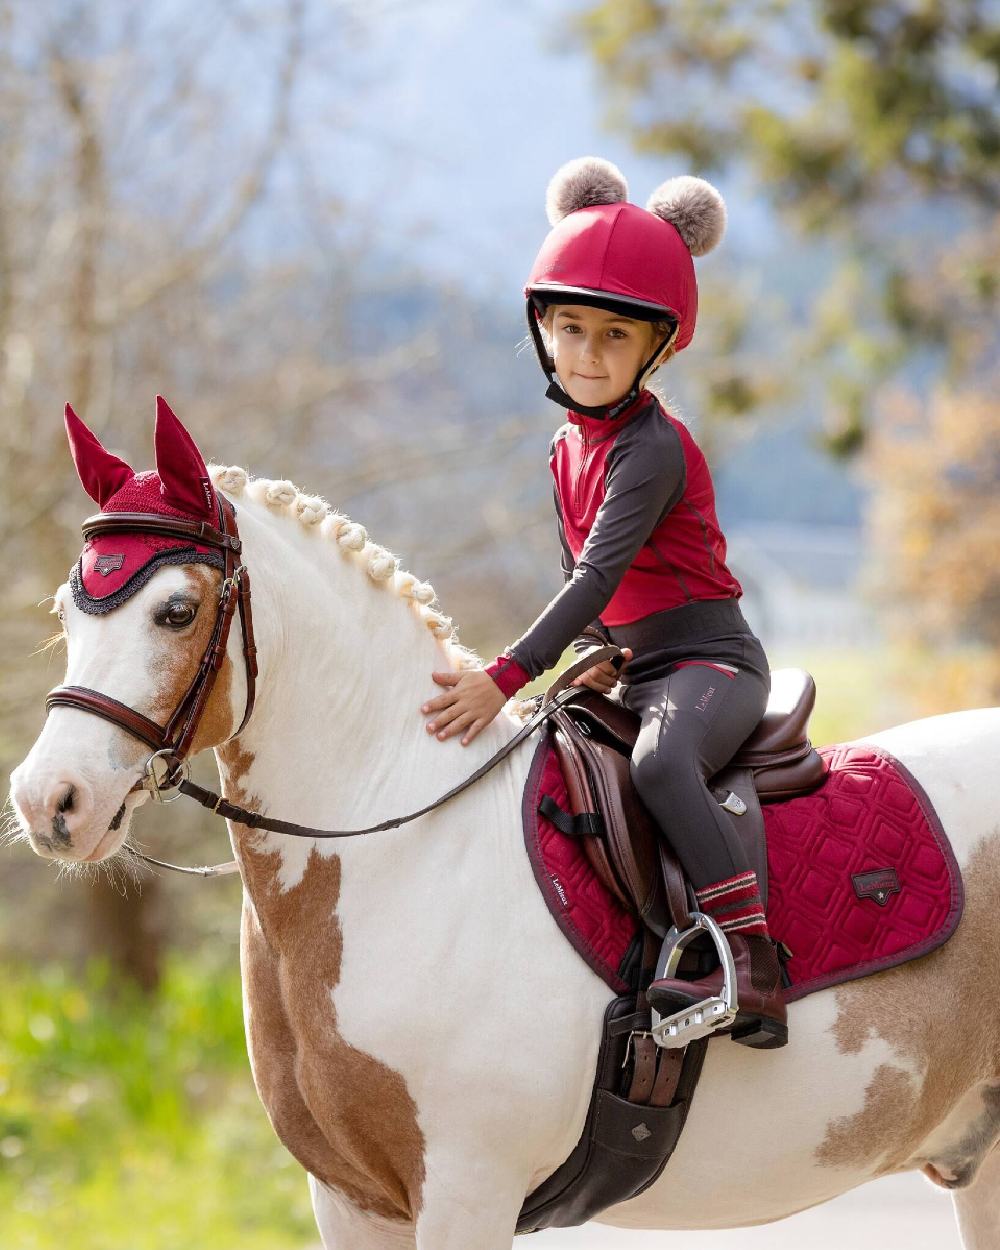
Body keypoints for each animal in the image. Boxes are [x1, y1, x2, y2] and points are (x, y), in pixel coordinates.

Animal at [7, 402, 1000, 1250]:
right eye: (66, 610)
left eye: (176, 610)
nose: (48, 802)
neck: (402, 840)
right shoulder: (352, 1202)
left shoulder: (466, 1191)